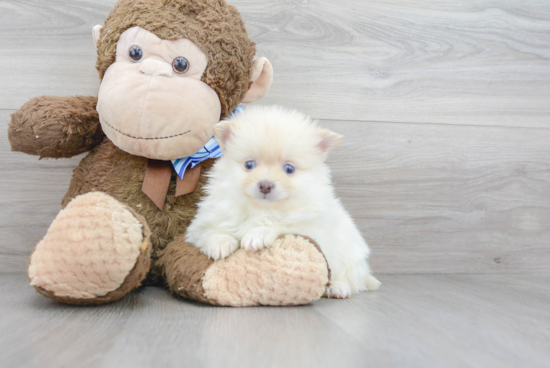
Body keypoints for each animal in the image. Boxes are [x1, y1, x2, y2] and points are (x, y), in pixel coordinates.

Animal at [188, 105, 382, 298]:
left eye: (289, 169)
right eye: (249, 165)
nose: (265, 185)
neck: (261, 209)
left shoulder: (311, 228)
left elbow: (283, 224)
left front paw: (258, 234)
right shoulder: (204, 221)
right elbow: (209, 231)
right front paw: (220, 243)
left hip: (350, 253)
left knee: (350, 278)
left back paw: (338, 288)